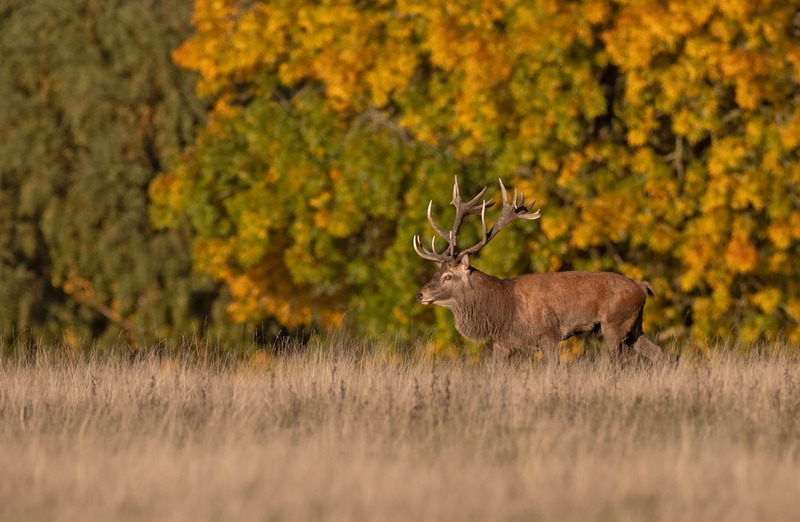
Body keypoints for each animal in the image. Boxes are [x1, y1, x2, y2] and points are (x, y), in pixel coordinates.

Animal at [413, 177, 667, 367]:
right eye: (437, 272)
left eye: (448, 276)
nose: (420, 294)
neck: (502, 309)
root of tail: (643, 287)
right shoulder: (502, 342)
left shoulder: (549, 334)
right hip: (634, 325)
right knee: (658, 353)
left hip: (614, 323)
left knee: (620, 362)